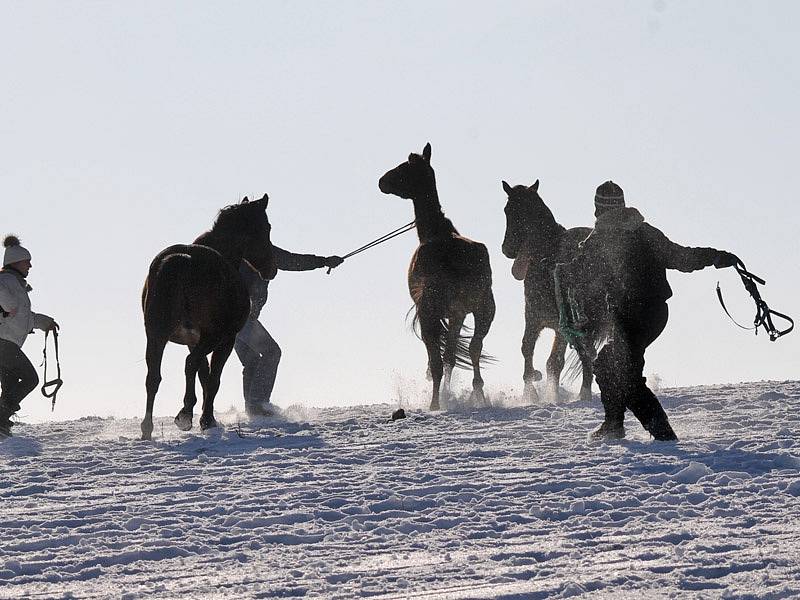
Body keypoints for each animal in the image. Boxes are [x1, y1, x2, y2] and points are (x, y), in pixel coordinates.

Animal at [138, 195, 276, 438]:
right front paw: (206, 420)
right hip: (212, 336)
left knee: (153, 378)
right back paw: (184, 415)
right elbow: (212, 378)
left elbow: (203, 374)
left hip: (156, 335)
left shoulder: (193, 340)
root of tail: (180, 261)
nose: (271, 269)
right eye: (267, 227)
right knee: (189, 364)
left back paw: (148, 429)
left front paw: (205, 416)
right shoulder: (225, 340)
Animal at [380, 143, 494, 410]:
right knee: (473, 348)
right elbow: (451, 355)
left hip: (436, 313)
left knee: (438, 360)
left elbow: (439, 360)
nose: (382, 181)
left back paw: (435, 403)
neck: (436, 233)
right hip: (481, 309)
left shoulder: (430, 313)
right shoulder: (457, 314)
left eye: (403, 167)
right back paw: (478, 393)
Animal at [500, 178, 592, 404]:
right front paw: (531, 390)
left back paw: (585, 392)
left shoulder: (558, 324)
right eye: (507, 209)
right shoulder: (536, 318)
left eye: (520, 211)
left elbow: (553, 361)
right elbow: (528, 348)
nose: (507, 249)